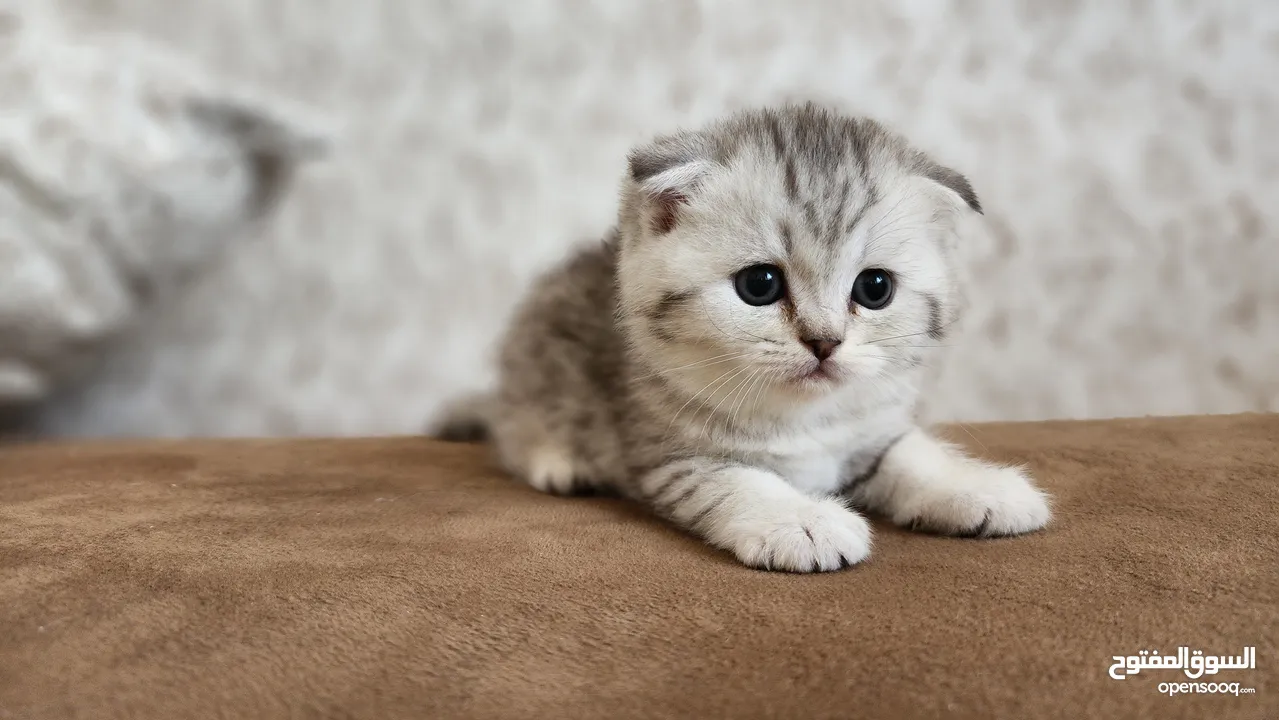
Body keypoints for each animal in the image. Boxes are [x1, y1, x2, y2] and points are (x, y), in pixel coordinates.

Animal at [429, 102, 1048, 575]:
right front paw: (803, 521)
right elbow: (743, 483)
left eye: (875, 289)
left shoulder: (872, 432)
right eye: (760, 284)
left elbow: (912, 454)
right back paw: (559, 460)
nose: (824, 341)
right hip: (534, 364)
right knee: (515, 427)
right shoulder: (674, 456)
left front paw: (977, 488)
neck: (800, 420)